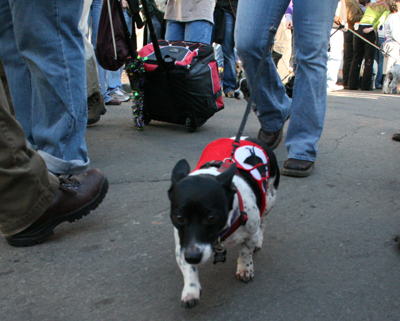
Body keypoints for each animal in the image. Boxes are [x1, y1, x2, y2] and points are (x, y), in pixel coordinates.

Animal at [168, 137, 278, 308]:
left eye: (211, 217)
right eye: (179, 217)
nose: (193, 257)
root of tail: (251, 138)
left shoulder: (250, 235)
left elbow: (245, 252)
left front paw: (245, 268)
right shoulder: (183, 245)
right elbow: (188, 268)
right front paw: (191, 289)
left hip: (269, 199)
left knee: (263, 222)